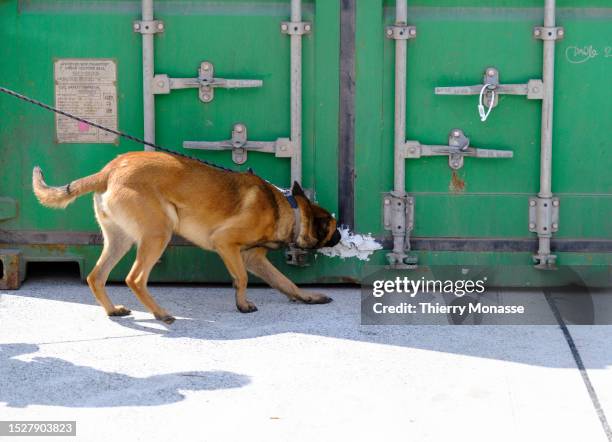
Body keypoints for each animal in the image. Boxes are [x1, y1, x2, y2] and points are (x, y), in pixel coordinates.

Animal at [32, 150, 340, 322]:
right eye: (333, 227)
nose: (340, 236)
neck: (287, 208)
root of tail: (109, 171)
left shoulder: (254, 258)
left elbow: (286, 282)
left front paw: (307, 297)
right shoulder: (226, 243)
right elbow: (241, 279)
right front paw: (242, 304)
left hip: (120, 240)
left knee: (96, 276)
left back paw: (112, 311)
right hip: (159, 233)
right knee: (135, 278)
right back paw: (160, 314)